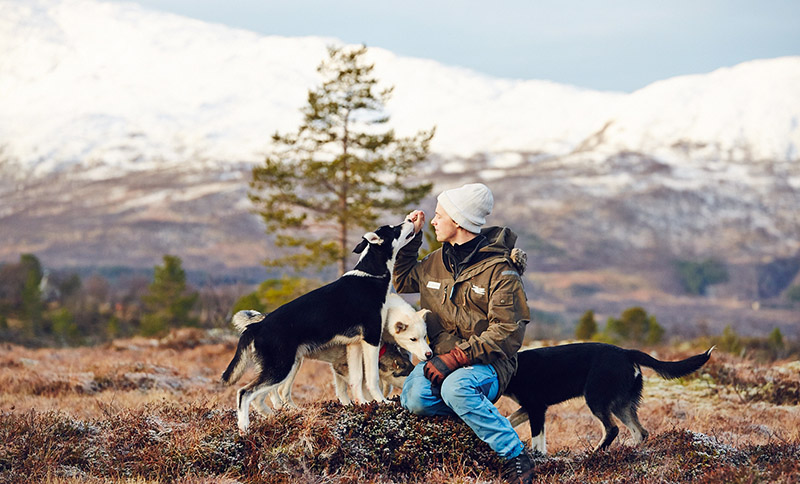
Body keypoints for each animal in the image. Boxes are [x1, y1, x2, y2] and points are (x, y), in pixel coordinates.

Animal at [222, 219, 416, 432]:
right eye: (395, 229)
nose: (410, 220)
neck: (371, 275)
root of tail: (257, 326)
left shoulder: (354, 345)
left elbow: (356, 380)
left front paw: (363, 403)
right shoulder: (371, 339)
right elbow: (372, 378)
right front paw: (382, 402)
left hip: (280, 367)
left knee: (258, 398)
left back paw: (278, 418)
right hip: (280, 367)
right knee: (245, 393)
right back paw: (244, 428)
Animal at [504, 342, 716, 452]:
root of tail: (627, 353)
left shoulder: (537, 408)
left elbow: (537, 441)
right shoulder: (530, 408)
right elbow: (508, 419)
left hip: (596, 399)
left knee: (612, 429)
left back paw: (594, 455)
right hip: (621, 405)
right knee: (640, 432)